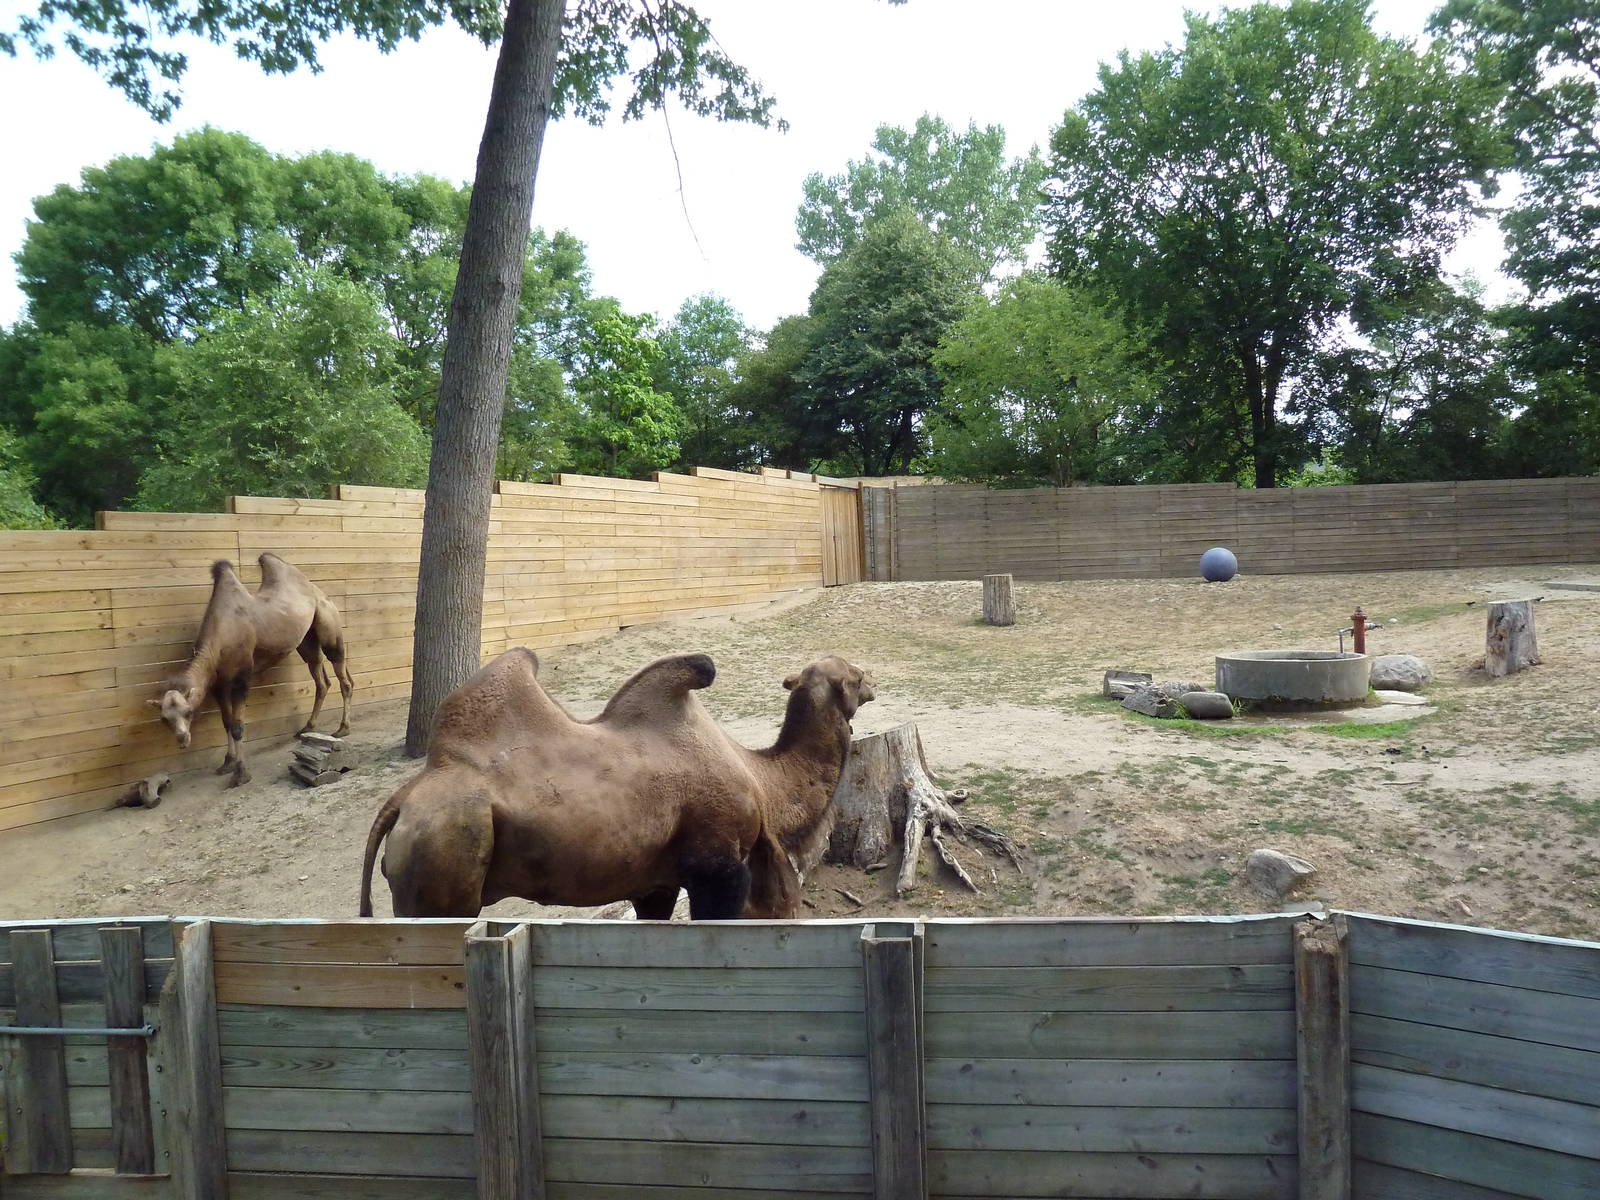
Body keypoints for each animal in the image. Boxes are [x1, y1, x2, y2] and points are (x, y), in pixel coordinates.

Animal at [148, 554, 354, 787]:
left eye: (188, 712)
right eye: (164, 719)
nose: (182, 739)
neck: (221, 637)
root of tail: (319, 592)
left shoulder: (242, 677)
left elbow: (238, 727)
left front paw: (241, 774)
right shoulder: (218, 684)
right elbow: (227, 722)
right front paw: (227, 763)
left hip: (329, 625)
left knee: (342, 674)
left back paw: (342, 729)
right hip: (306, 641)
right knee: (321, 680)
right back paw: (307, 728)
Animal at [358, 648, 875, 920]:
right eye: (855, 676)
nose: (873, 683)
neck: (761, 780)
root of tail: (401, 800)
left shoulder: (656, 883)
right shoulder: (718, 868)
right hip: (442, 864)